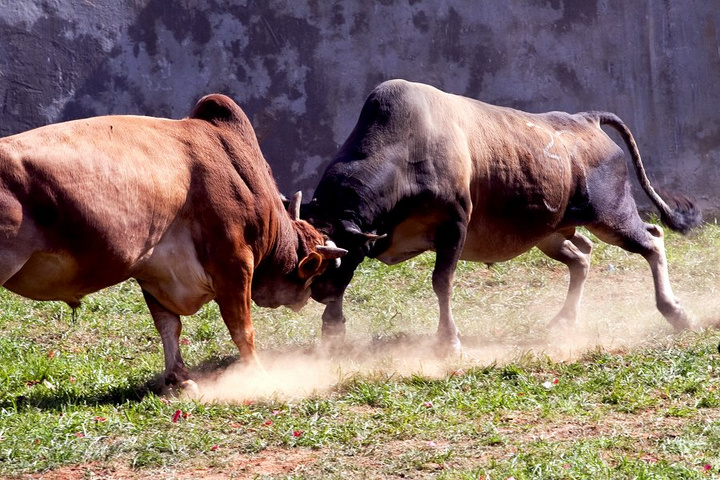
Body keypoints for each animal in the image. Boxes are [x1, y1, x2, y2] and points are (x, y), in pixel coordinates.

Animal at [0, 94, 346, 390]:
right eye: (314, 273)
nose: (308, 298)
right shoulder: (234, 264)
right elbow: (241, 328)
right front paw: (257, 375)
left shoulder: (153, 272)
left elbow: (169, 327)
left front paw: (178, 378)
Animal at [302, 79, 696, 354]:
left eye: (331, 259)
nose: (314, 293)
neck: (404, 154)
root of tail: (585, 120)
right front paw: (332, 330)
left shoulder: (453, 226)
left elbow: (441, 281)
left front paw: (449, 342)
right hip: (551, 232)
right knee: (582, 255)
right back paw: (564, 320)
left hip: (612, 216)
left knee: (652, 240)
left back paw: (675, 312)